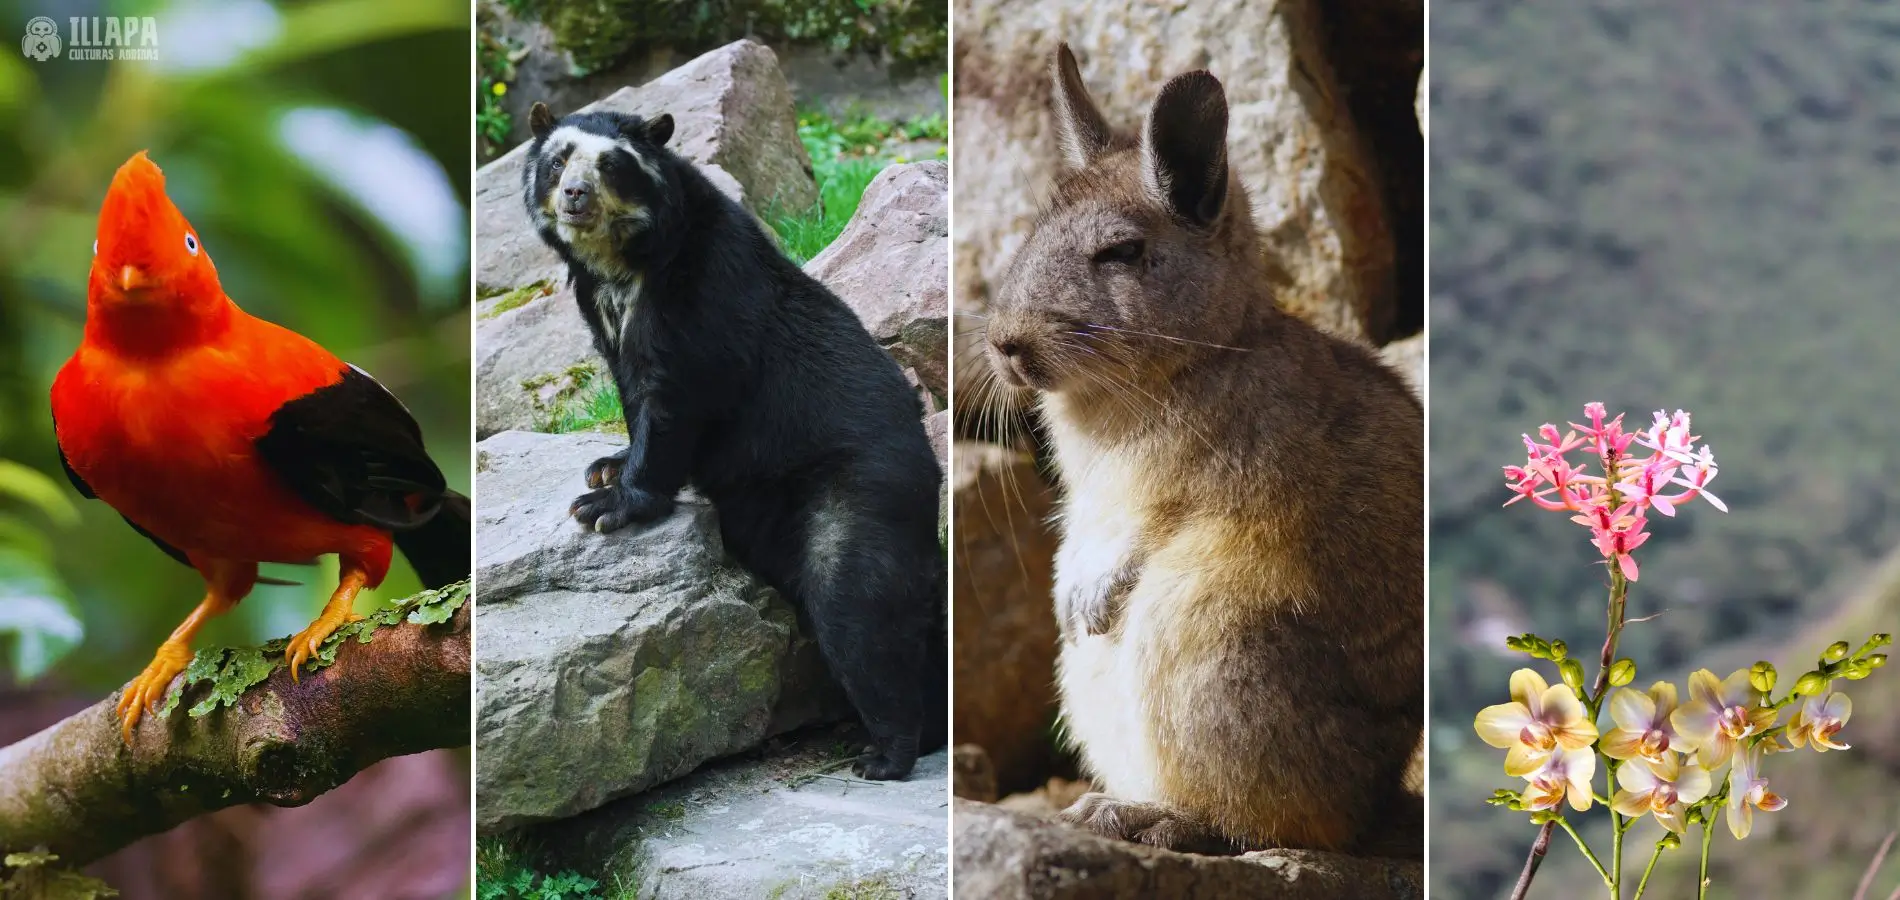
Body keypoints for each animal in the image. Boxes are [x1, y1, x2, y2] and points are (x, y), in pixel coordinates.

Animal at [524, 100, 946, 782]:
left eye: (611, 164)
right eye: (558, 159)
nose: (574, 195)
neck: (622, 264)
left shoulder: (699, 294)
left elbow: (674, 398)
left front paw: (607, 505)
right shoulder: (600, 311)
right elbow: (630, 389)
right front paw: (605, 467)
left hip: (861, 487)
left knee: (855, 603)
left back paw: (886, 753)